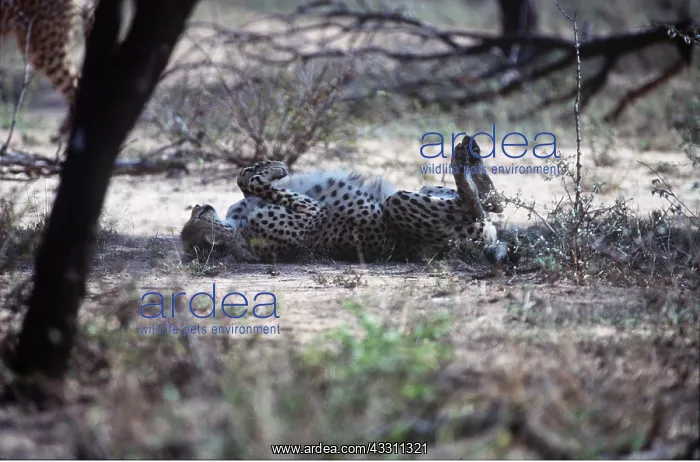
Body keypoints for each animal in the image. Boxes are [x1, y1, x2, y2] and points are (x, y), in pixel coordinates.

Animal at [180, 135, 513, 265]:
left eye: (195, 214)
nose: (201, 206)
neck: (233, 231)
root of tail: (486, 244)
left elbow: (245, 180)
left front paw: (265, 166)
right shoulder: (313, 213)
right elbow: (254, 182)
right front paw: (274, 168)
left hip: (426, 191)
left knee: (492, 201)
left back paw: (472, 156)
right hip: (400, 204)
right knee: (476, 205)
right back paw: (462, 160)